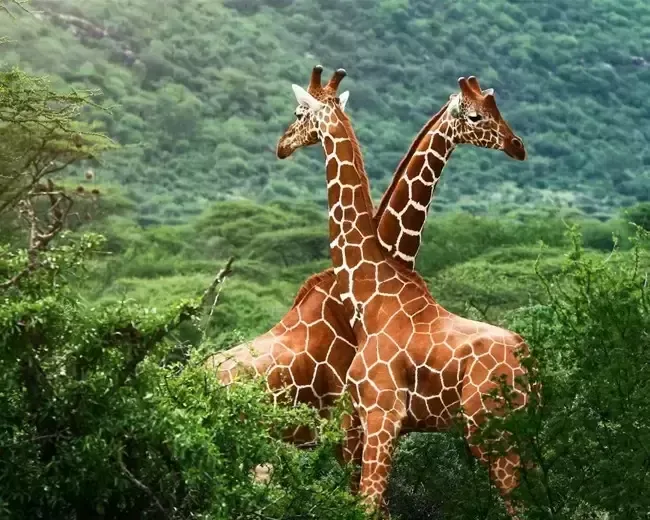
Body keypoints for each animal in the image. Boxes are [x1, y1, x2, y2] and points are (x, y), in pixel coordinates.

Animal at [276, 67, 536, 516]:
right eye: (477, 115)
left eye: (298, 112)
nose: (282, 145)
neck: (371, 293)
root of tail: (531, 366)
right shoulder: (366, 420)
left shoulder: (380, 414)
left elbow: (367, 505)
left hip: (491, 430)